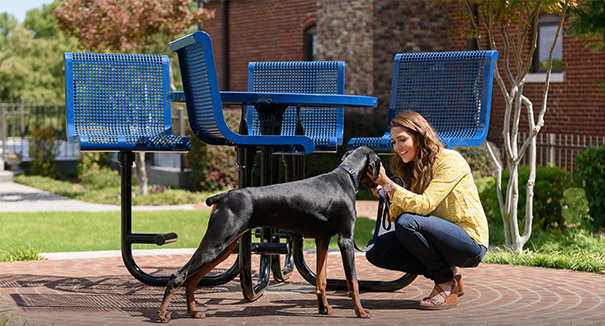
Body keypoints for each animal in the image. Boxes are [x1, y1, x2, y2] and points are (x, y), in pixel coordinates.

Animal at [158, 146, 380, 322]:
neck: (346, 176)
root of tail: (224, 195)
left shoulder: (322, 240)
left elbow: (321, 280)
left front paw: (324, 308)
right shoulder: (346, 241)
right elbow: (353, 281)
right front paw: (360, 312)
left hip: (224, 248)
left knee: (191, 280)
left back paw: (193, 312)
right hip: (216, 243)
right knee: (178, 275)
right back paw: (162, 314)